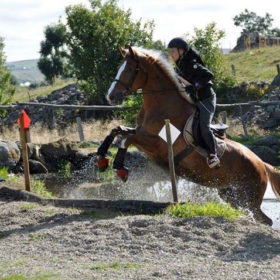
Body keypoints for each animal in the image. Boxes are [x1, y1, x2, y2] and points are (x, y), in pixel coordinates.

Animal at [97, 45, 280, 225]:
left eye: (129, 69)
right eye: (118, 68)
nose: (109, 97)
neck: (161, 104)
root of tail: (263, 164)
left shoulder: (156, 144)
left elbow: (126, 139)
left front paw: (120, 168)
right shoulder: (141, 133)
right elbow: (116, 130)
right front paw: (101, 159)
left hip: (249, 196)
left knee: (265, 220)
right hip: (231, 195)